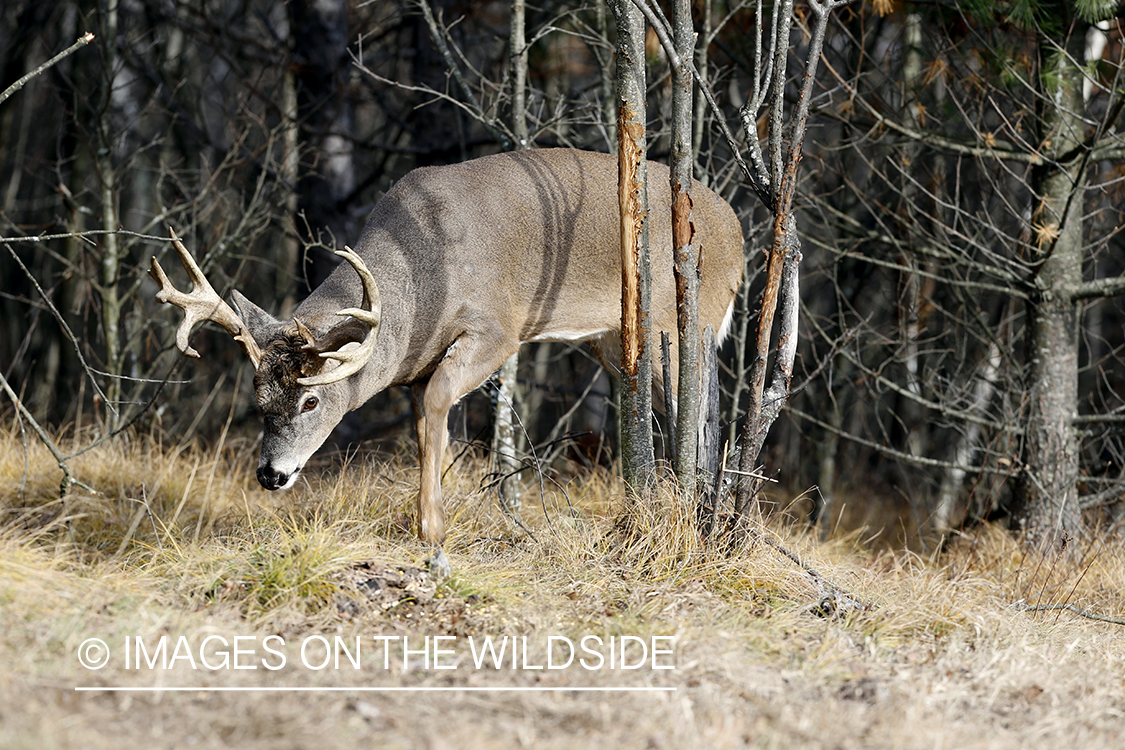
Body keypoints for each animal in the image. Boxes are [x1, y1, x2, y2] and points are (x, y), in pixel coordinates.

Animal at [151, 150, 747, 575]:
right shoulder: (418, 368)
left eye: (312, 399)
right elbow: (423, 429)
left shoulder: (498, 327)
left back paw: (700, 509)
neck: (420, 285)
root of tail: (740, 234)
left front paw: (432, 530)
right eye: (259, 399)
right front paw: (427, 520)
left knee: (697, 413)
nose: (271, 475)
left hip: (679, 322)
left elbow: (441, 402)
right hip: (614, 337)